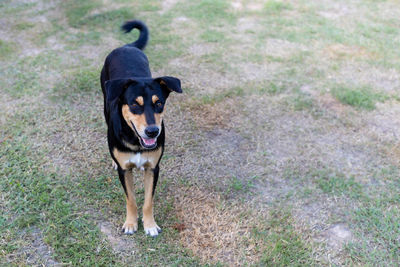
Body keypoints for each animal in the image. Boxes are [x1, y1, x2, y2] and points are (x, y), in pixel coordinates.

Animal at [100, 21, 181, 239]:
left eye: (159, 103)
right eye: (135, 104)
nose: (153, 131)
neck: (135, 140)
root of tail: (126, 46)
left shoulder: (153, 168)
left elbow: (147, 201)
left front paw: (150, 225)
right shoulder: (124, 170)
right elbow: (131, 199)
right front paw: (130, 223)